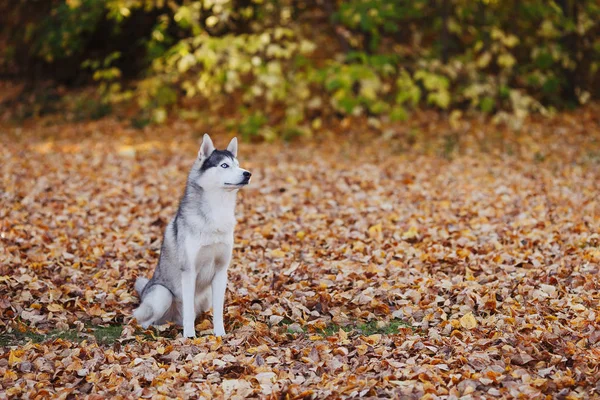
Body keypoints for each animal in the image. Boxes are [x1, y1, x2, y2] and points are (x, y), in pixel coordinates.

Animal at [134, 134, 251, 338]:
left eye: (237, 164)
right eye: (224, 165)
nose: (247, 174)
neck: (217, 213)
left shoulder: (221, 272)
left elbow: (218, 311)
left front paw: (220, 334)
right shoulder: (189, 272)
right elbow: (188, 310)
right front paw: (189, 336)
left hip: (206, 297)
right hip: (162, 294)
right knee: (145, 321)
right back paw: (160, 329)